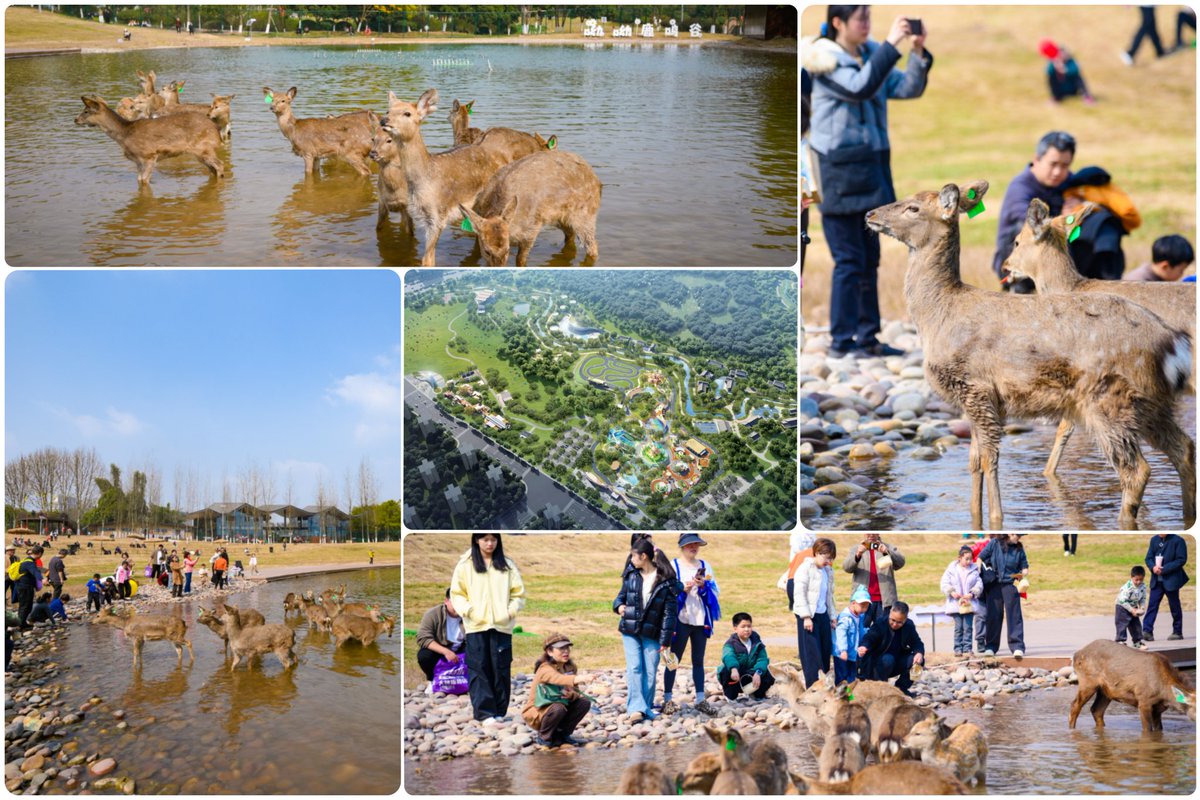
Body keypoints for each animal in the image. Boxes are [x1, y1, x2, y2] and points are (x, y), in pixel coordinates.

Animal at [75, 95, 224, 186]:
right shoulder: (138, 160)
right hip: (201, 152)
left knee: (220, 165)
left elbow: (144, 182)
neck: (124, 135)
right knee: (213, 169)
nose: (75, 120)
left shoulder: (149, 155)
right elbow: (140, 180)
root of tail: (216, 129)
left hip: (204, 147)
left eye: (86, 111)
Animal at [380, 88, 543, 266]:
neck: (421, 183)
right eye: (388, 110)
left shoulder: (438, 217)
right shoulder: (418, 214)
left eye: (407, 113)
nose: (383, 120)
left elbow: (428, 260)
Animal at [458, 150, 601, 266]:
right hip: (561, 219)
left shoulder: (532, 228)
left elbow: (520, 260)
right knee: (571, 235)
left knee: (592, 246)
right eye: (487, 251)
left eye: (507, 250)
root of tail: (596, 181)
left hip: (586, 214)